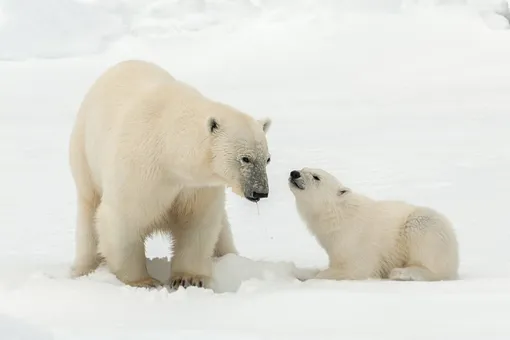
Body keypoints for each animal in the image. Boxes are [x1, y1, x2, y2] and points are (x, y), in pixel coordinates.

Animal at [69, 59, 272, 288]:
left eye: (267, 159)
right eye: (245, 158)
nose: (260, 192)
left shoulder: (196, 187)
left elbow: (197, 222)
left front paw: (189, 278)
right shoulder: (139, 171)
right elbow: (123, 219)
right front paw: (144, 281)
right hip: (85, 158)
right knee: (89, 212)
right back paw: (85, 269)